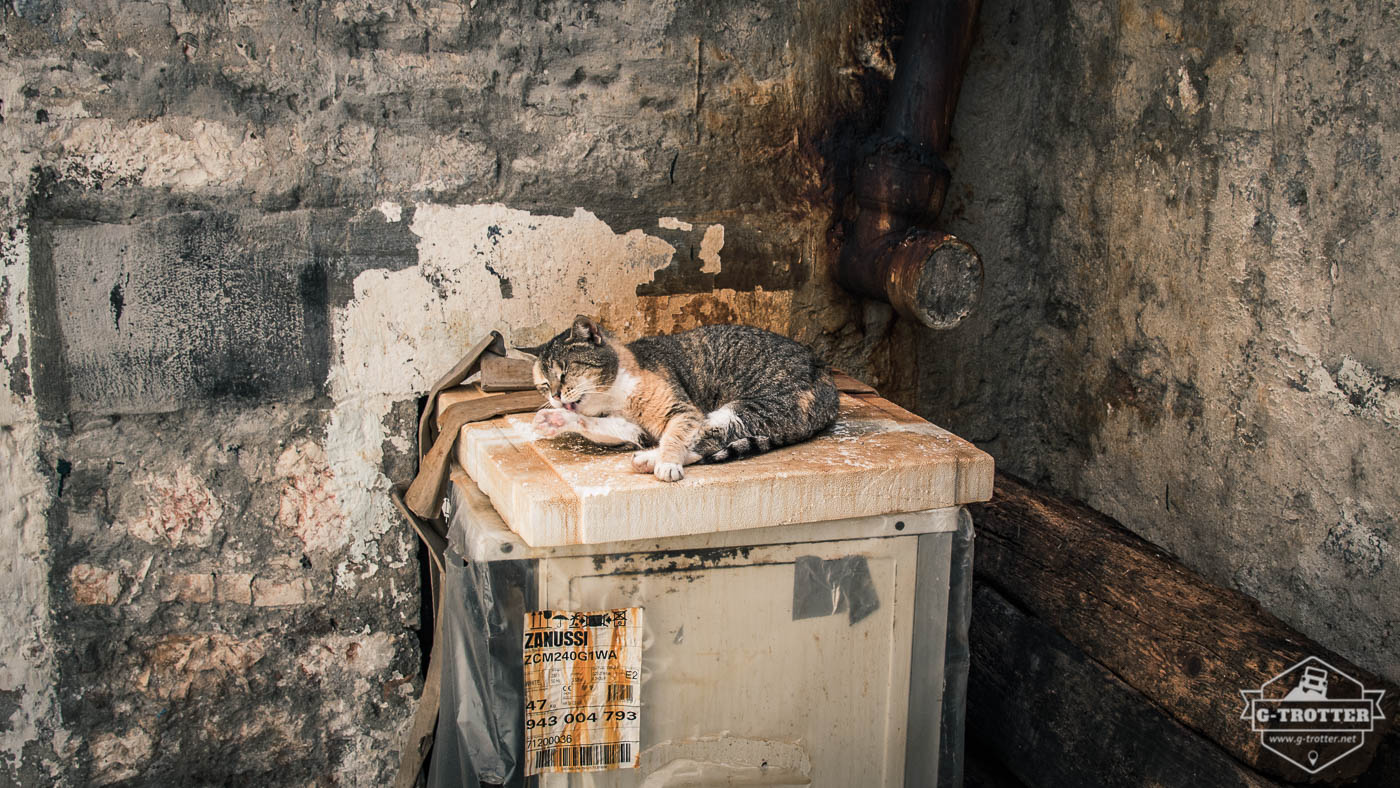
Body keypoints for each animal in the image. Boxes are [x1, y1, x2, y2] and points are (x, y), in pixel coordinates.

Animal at [518, 314, 834, 481]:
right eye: (544, 384)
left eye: (565, 372)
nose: (555, 396)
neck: (610, 397)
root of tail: (826, 376)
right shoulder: (632, 428)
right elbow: (598, 426)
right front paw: (556, 419)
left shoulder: (682, 410)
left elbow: (675, 436)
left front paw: (668, 462)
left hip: (748, 407)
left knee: (709, 438)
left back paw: (652, 461)